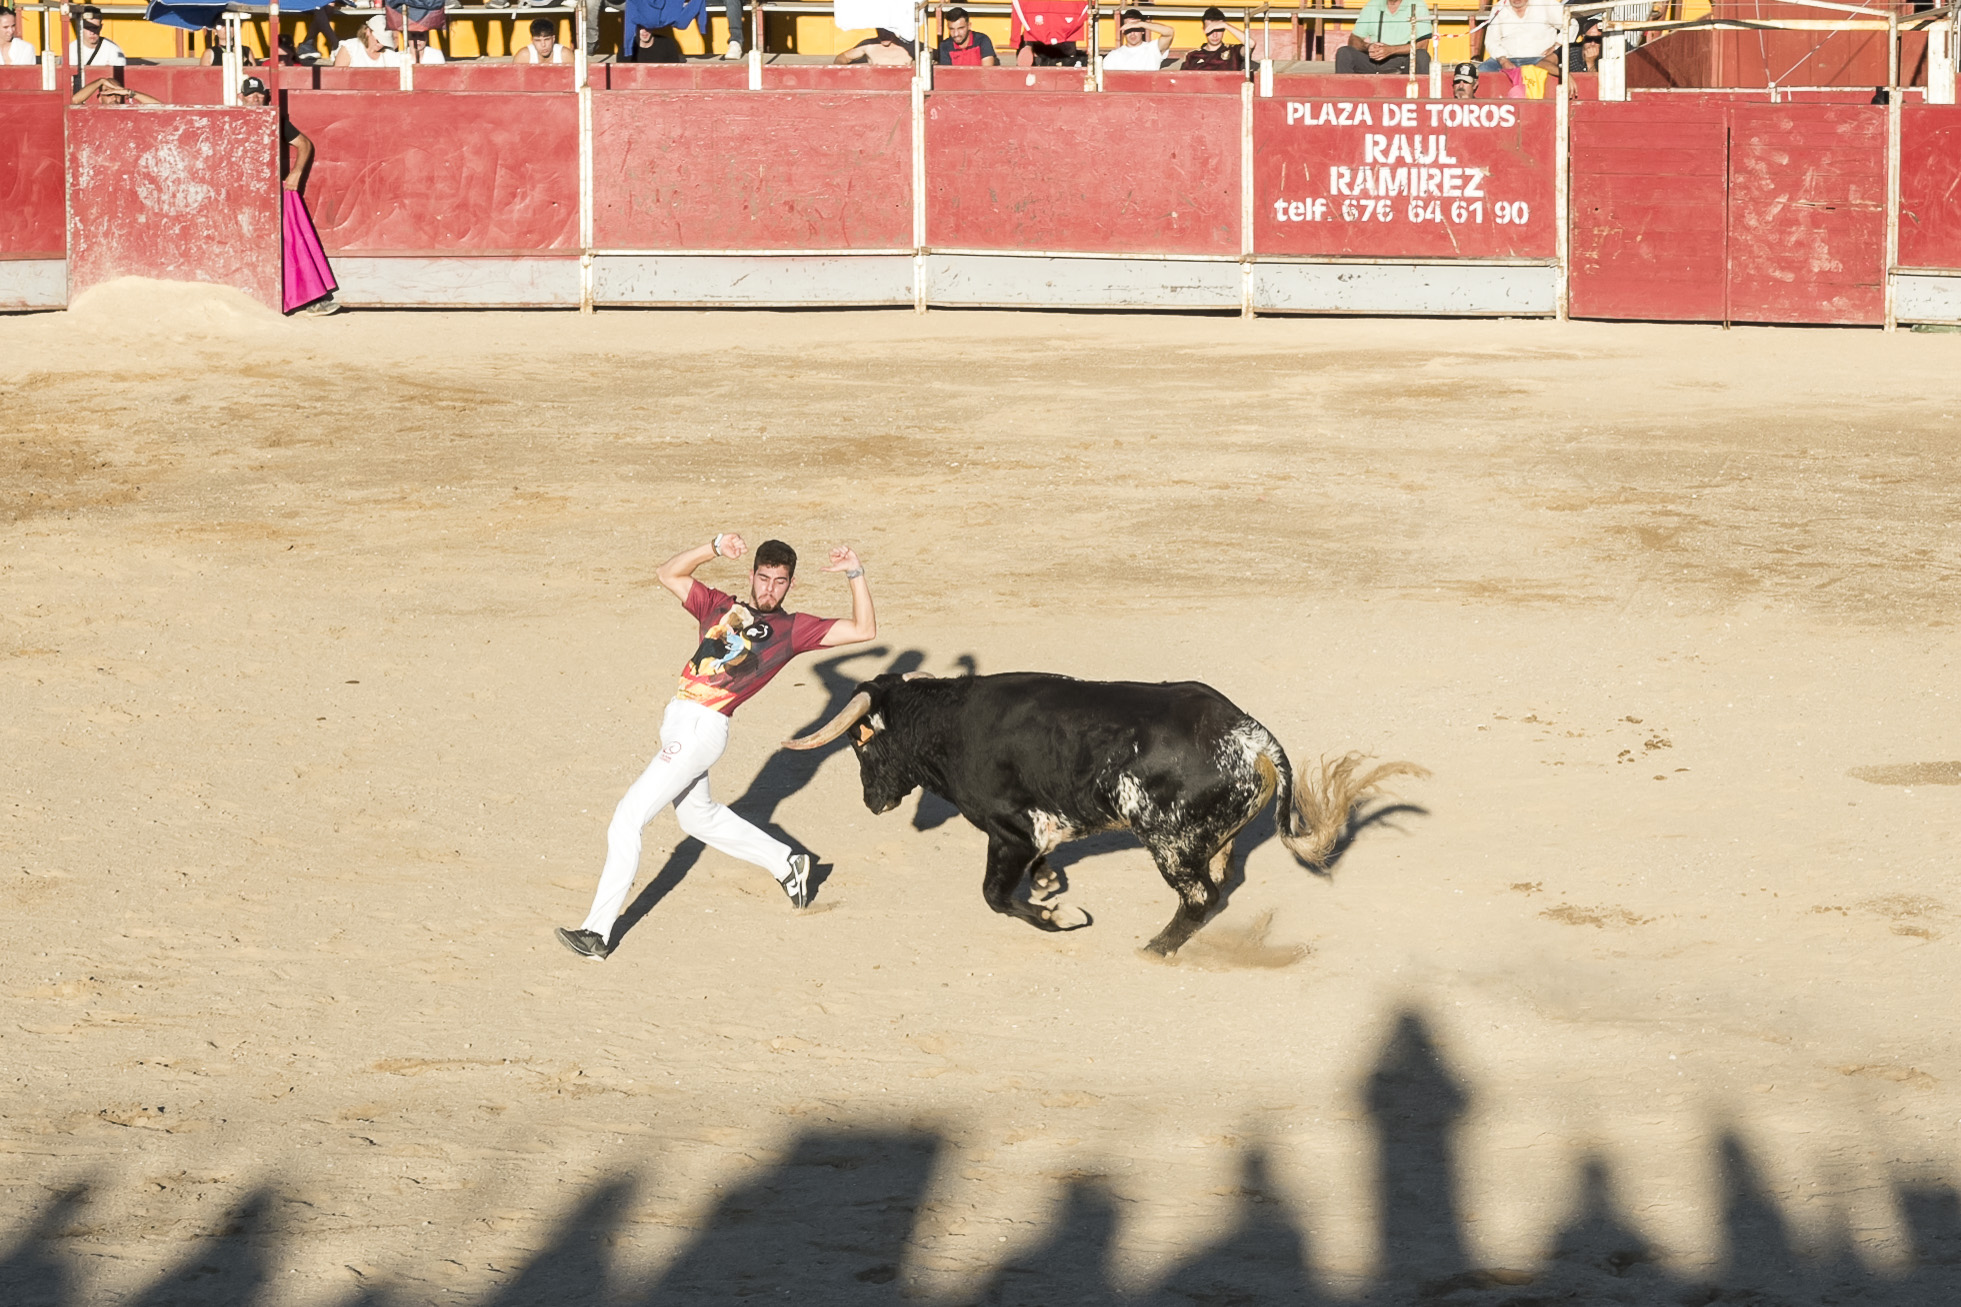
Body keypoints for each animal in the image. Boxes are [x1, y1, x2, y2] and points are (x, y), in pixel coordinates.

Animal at [780, 675, 1427, 953]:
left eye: (860, 743)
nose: (872, 801)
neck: (950, 723)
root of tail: (1250, 735)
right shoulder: (1032, 837)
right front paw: (1050, 887)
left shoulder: (1010, 832)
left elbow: (995, 896)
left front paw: (1063, 916)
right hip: (1207, 839)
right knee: (1219, 884)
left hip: (1166, 841)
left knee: (1201, 896)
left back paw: (1156, 948)